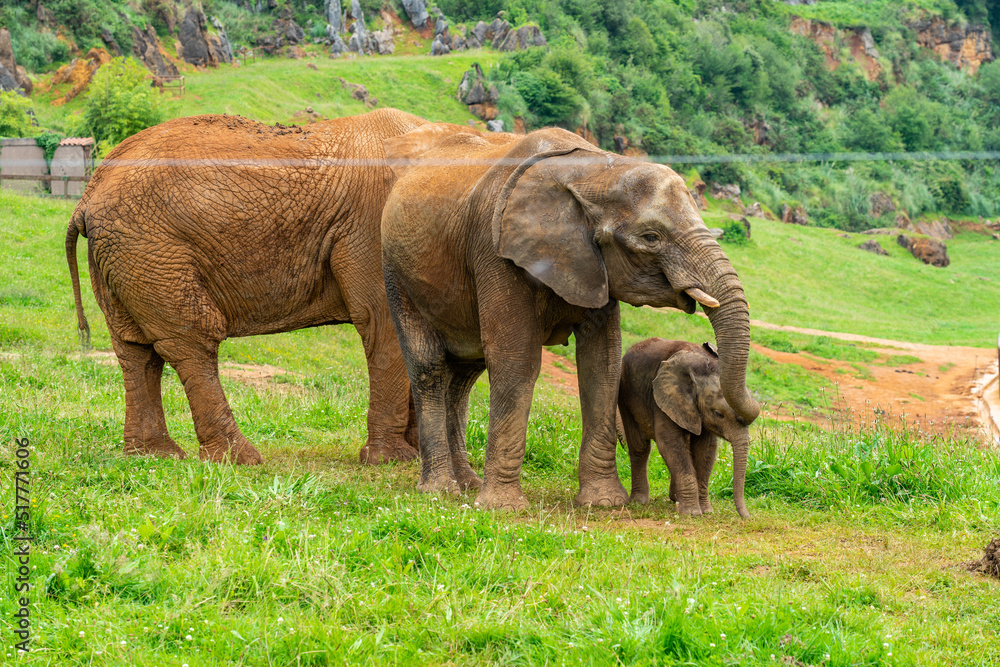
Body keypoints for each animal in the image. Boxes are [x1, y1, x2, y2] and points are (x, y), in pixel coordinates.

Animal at [65, 108, 432, 465]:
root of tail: (87, 195)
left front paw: (414, 454)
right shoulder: (369, 227)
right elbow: (382, 320)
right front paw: (393, 460)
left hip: (123, 256)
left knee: (135, 348)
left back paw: (155, 455)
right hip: (152, 250)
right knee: (191, 340)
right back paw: (239, 459)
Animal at [618, 338, 751, 518]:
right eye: (718, 413)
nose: (747, 517)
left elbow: (705, 448)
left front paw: (706, 511)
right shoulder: (663, 399)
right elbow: (670, 443)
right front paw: (692, 513)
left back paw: (675, 498)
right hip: (625, 394)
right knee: (640, 446)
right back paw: (640, 501)